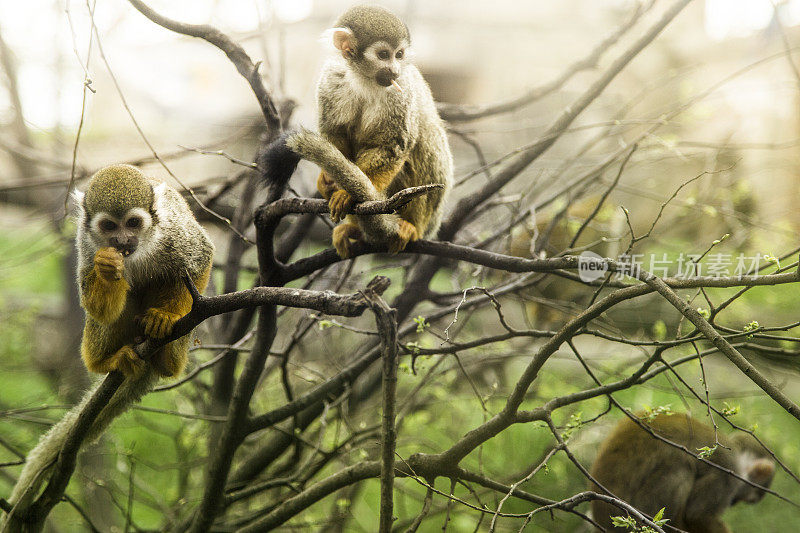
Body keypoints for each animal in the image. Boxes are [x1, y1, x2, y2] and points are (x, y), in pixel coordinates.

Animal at [3, 164, 214, 516]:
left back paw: (168, 358)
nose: (123, 240)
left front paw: (167, 316)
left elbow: (200, 258)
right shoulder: (87, 241)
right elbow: (95, 303)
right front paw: (106, 269)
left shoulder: (175, 232)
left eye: (133, 223)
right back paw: (105, 361)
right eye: (109, 226)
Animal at [286, 4, 450, 258]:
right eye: (383, 55)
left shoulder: (401, 91)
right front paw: (329, 180)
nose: (394, 70)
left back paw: (410, 226)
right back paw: (355, 229)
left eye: (399, 55)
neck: (364, 80)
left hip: (432, 213)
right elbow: (335, 134)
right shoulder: (331, 79)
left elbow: (390, 145)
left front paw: (348, 193)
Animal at [592, 412, 772, 532]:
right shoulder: (728, 471)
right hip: (638, 512)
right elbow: (696, 516)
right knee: (681, 468)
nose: (734, 502)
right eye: (748, 498)